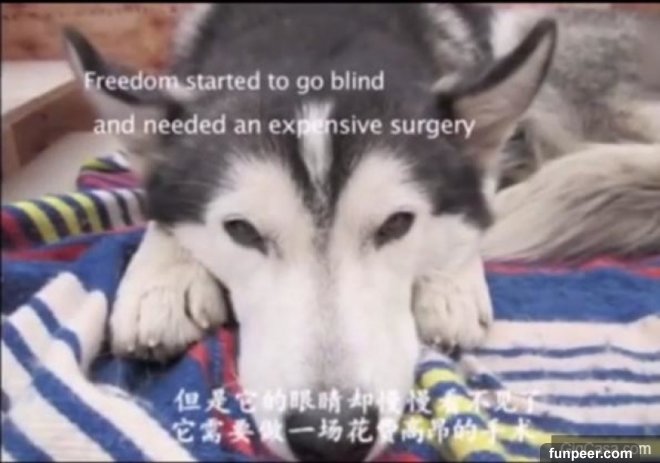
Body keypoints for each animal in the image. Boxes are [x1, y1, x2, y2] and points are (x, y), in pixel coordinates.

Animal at [63, 4, 659, 461]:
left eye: (397, 223)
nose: (332, 438)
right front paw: (161, 279)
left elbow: (472, 201)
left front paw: (450, 280)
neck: (317, 28)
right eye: (242, 230)